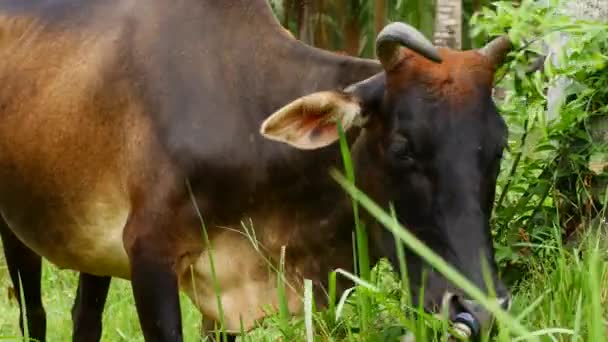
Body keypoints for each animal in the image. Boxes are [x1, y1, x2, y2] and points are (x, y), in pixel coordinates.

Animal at [0, 0, 512, 342]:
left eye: (499, 148)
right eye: (404, 147)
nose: (480, 309)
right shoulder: (150, 255)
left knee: (84, 316)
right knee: (34, 314)